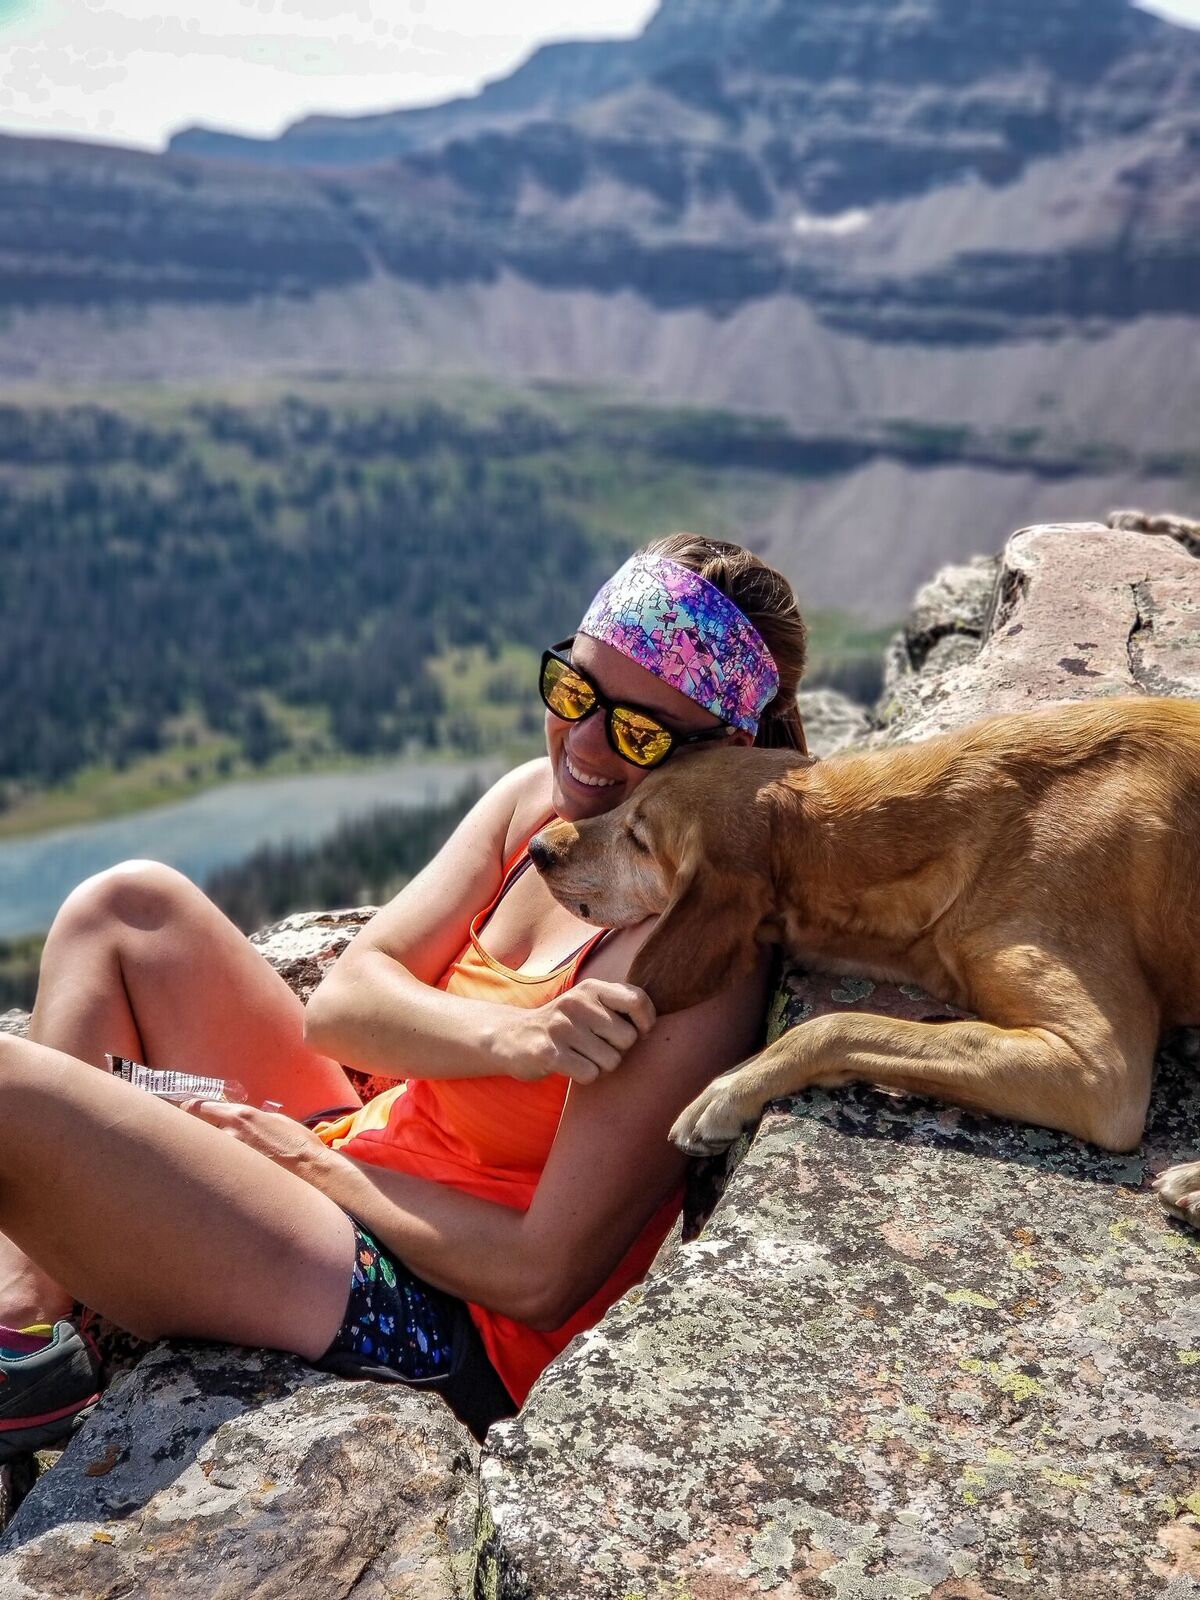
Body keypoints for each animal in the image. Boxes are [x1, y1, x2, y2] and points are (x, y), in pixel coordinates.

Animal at [531, 697, 1200, 1222]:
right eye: (629, 800)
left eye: (640, 839)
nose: (540, 848)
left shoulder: (1101, 1071)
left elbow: (839, 1025)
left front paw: (733, 1083)